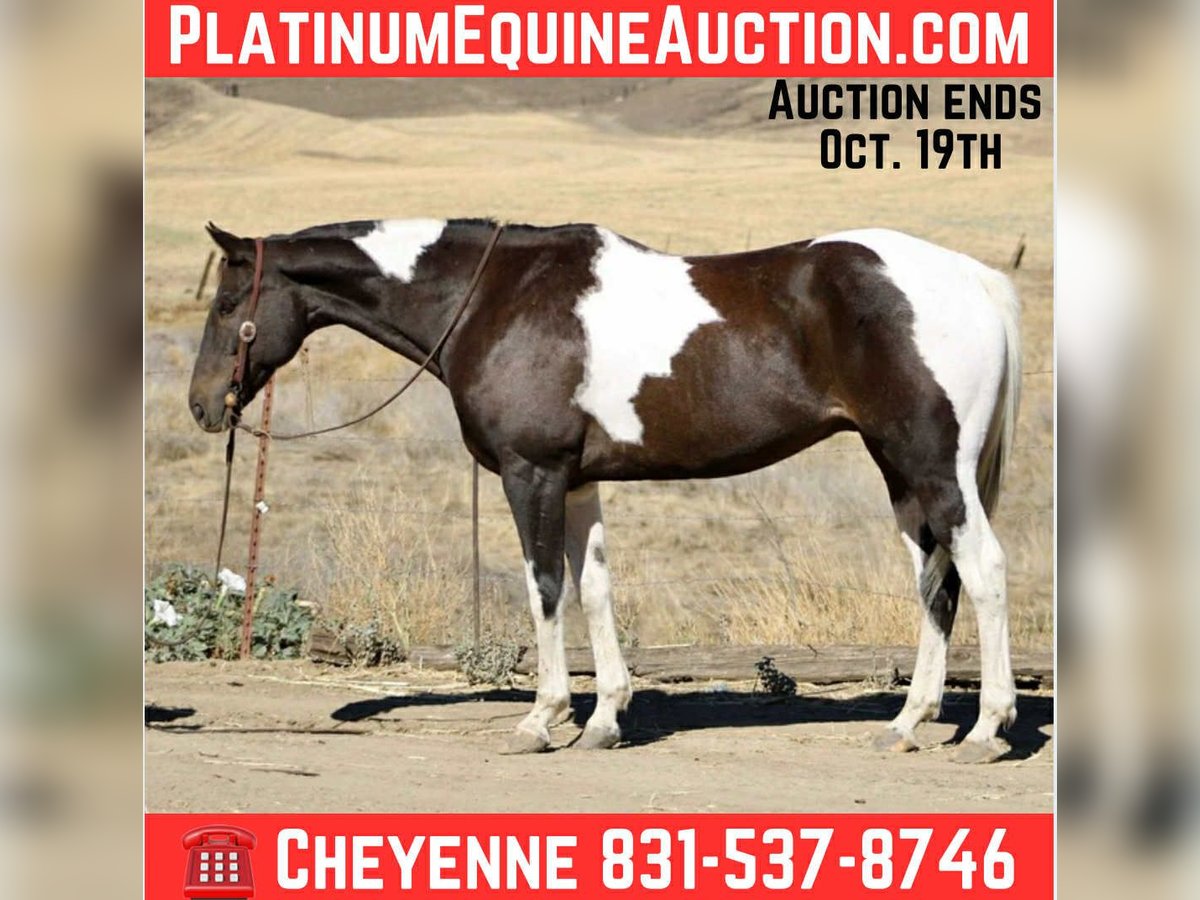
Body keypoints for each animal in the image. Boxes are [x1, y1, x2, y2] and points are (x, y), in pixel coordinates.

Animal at [188, 217, 1021, 763]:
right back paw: (908, 723)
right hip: (902, 473)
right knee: (936, 585)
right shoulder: (579, 480)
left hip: (933, 466)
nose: (202, 407)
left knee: (981, 572)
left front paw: (542, 719)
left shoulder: (532, 472)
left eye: (228, 306)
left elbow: (545, 590)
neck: (491, 297)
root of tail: (976, 280)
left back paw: (986, 731)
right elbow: (594, 590)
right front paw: (603, 721)